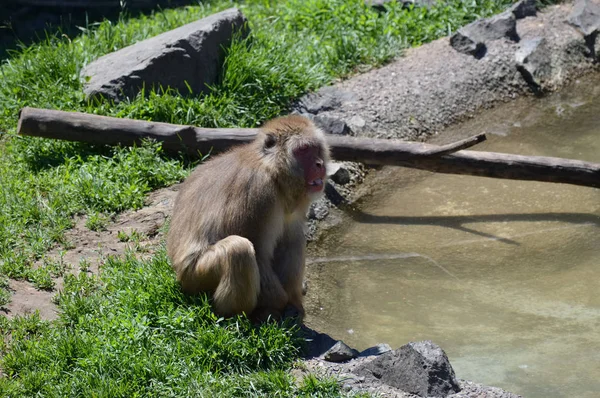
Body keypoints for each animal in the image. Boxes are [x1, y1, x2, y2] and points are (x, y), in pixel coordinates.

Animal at [166, 114, 330, 320]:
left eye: (316, 149)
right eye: (303, 150)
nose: (319, 164)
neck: (273, 172)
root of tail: (178, 273)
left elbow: (289, 237)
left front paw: (294, 301)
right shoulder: (256, 192)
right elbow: (258, 252)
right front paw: (279, 303)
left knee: (294, 237)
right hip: (195, 277)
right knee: (238, 250)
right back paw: (236, 316)